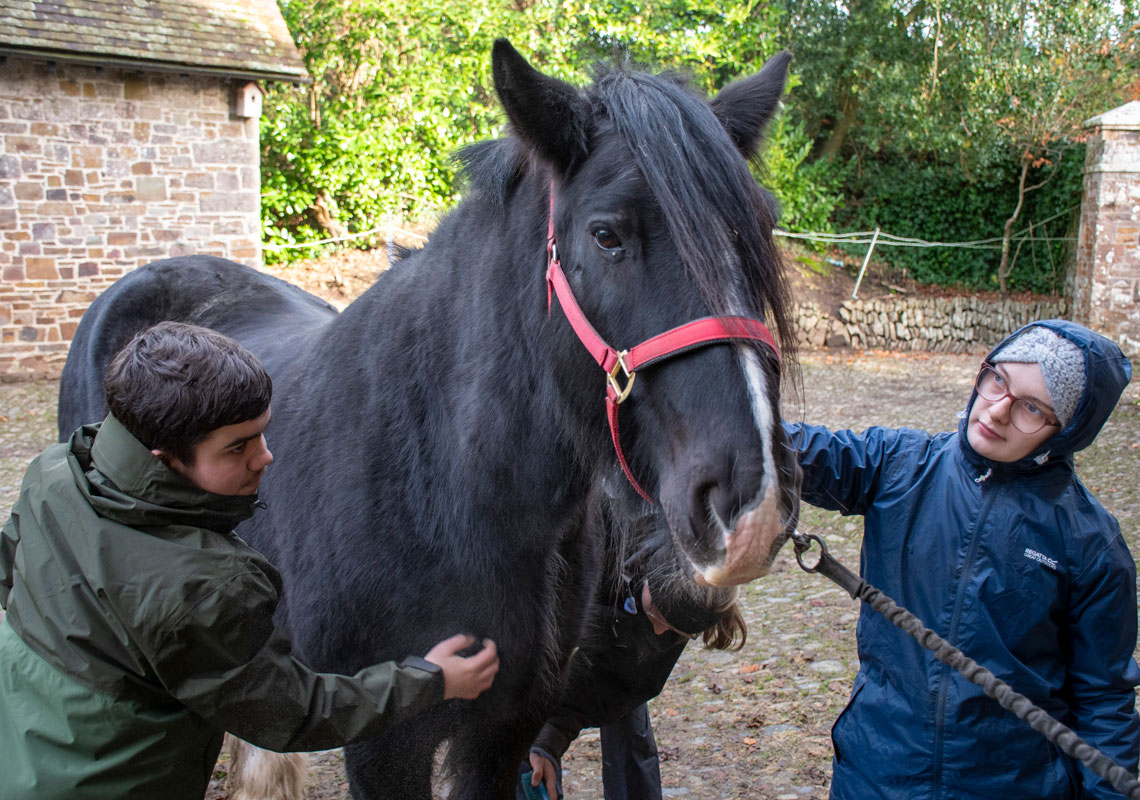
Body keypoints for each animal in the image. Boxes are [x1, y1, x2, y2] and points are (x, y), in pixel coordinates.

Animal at [57, 40, 799, 799]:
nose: (752, 501)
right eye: (606, 235)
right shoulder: (382, 745)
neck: (446, 486)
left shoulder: (505, 731)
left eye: (760, 231)